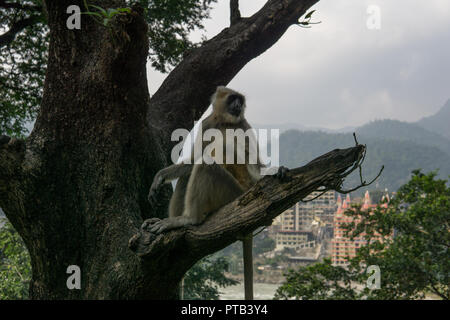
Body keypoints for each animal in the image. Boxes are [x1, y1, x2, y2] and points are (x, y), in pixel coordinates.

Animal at [143, 85, 288, 300]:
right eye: (233, 99)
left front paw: (275, 170)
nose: (238, 105)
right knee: (190, 172)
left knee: (207, 164)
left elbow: (254, 163)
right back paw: (177, 220)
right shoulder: (207, 123)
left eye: (239, 100)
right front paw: (160, 176)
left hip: (233, 194)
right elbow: (192, 160)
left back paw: (190, 219)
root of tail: (248, 190)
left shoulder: (243, 125)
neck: (225, 122)